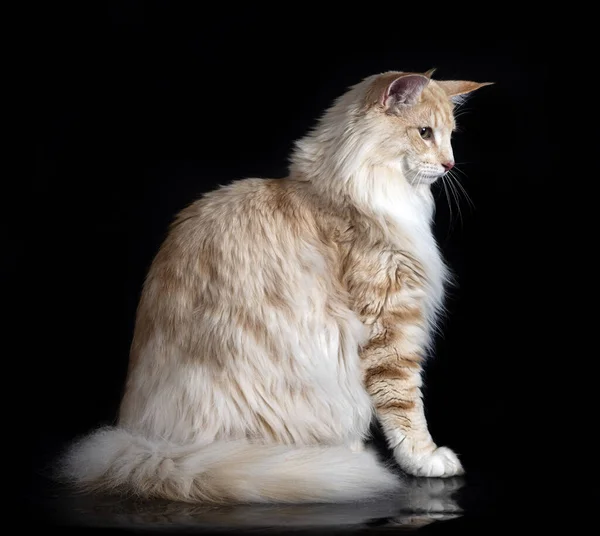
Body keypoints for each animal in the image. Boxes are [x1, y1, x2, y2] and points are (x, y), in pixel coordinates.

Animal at [58, 69, 492, 504]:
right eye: (425, 133)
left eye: (450, 136)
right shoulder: (389, 325)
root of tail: (152, 448)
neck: (342, 195)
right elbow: (404, 405)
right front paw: (426, 458)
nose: (450, 164)